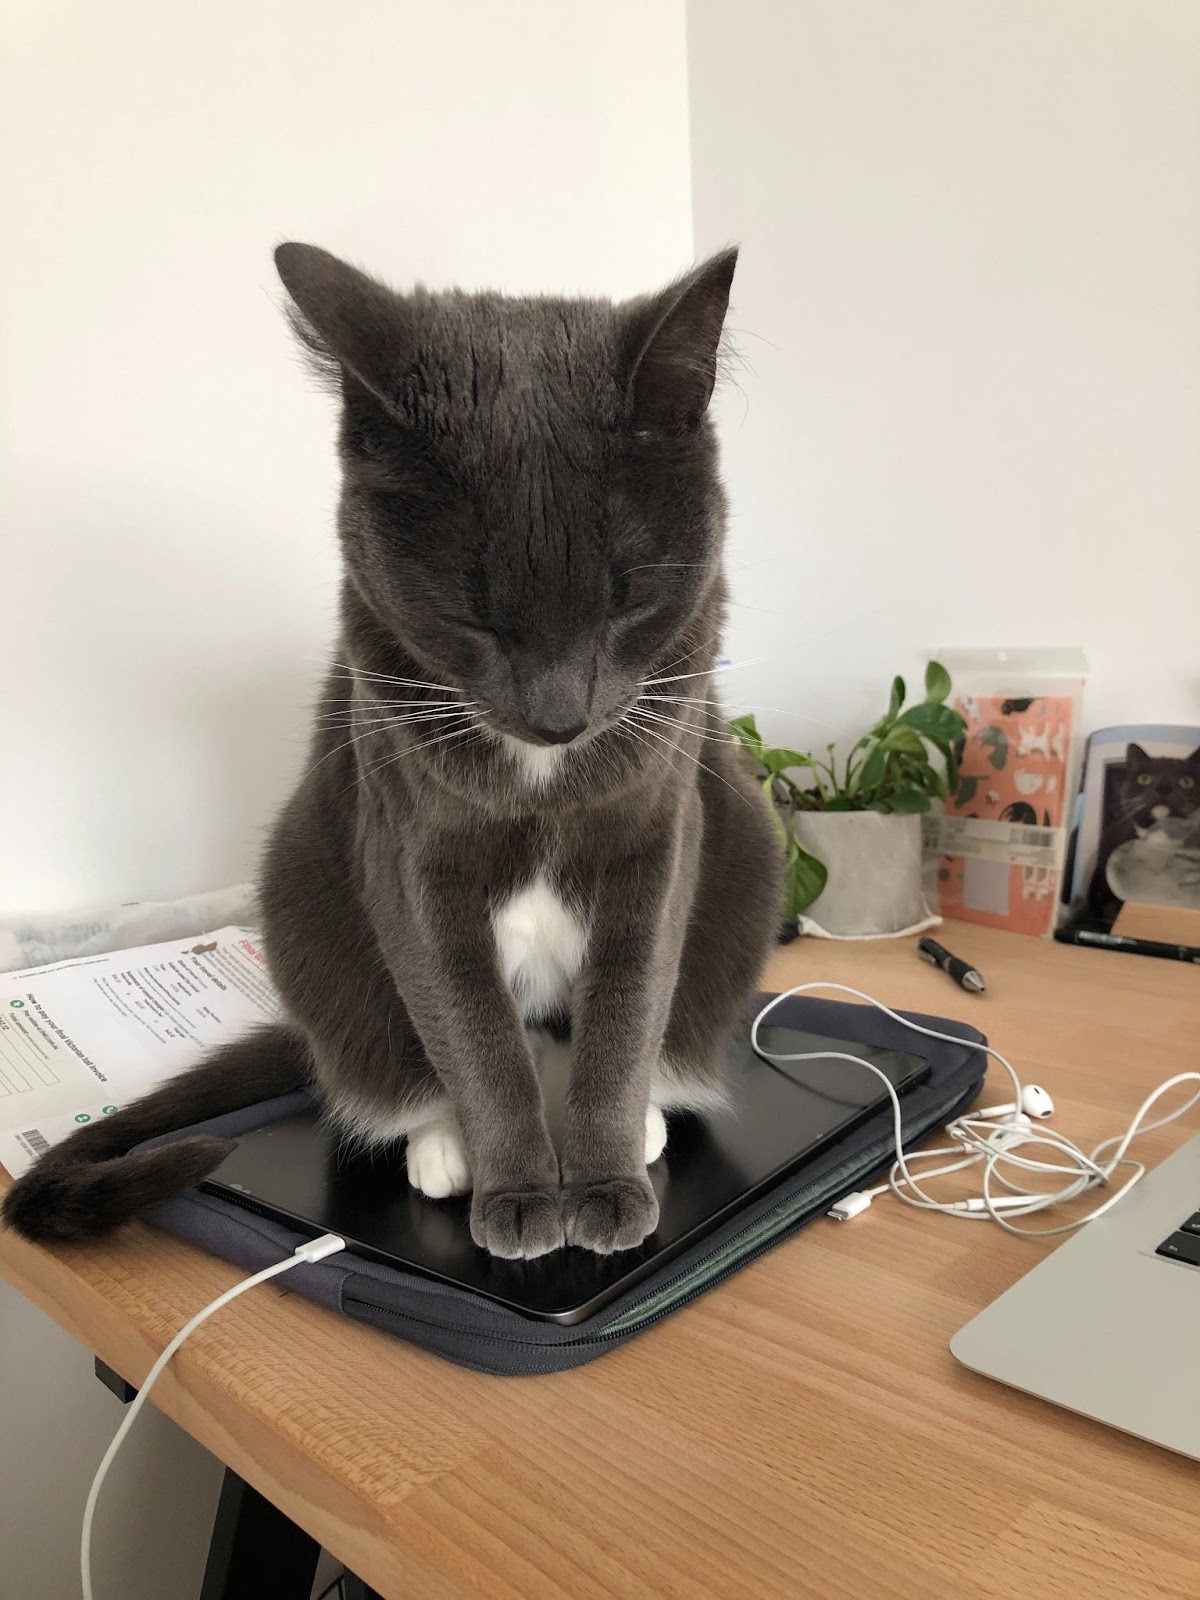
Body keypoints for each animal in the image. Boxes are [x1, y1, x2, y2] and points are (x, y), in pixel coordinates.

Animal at [4, 243, 780, 1260]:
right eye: (469, 615)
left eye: (628, 603)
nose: (560, 716)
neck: (538, 777)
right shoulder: (410, 851)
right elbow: (471, 1031)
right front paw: (519, 1193)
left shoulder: (656, 830)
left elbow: (627, 1003)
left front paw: (605, 1183)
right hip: (304, 896)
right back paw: (446, 1148)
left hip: (748, 850)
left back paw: (642, 1121)